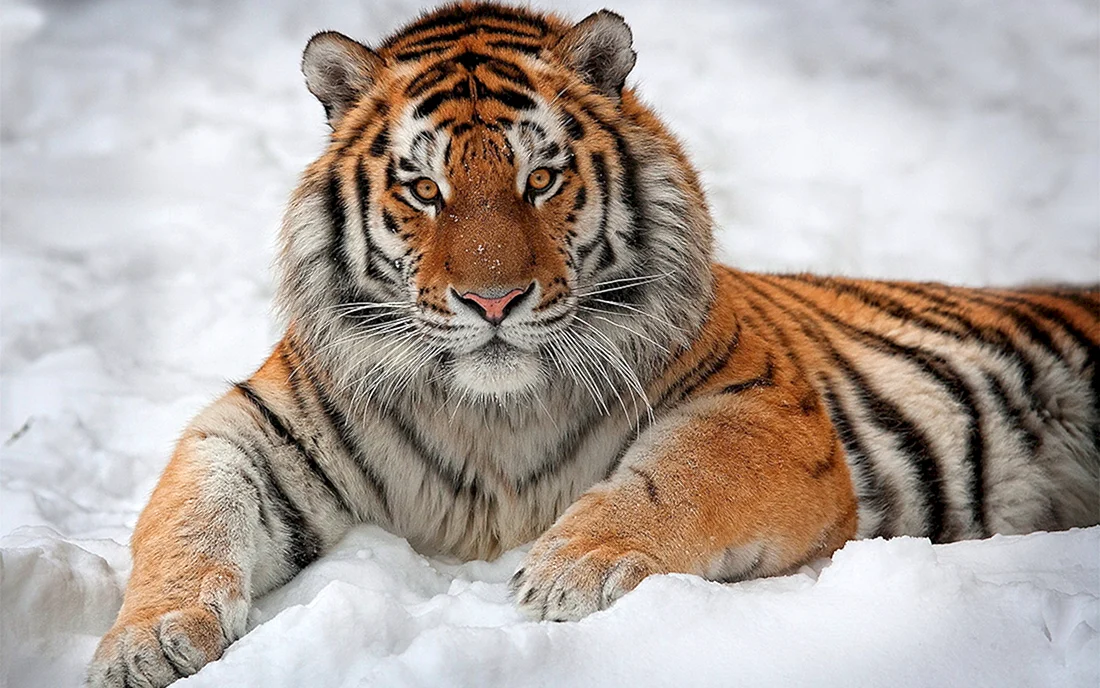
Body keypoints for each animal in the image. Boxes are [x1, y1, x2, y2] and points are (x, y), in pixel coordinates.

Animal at [87, 3, 1100, 686]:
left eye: (540, 179)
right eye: (424, 189)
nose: (492, 297)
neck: (490, 417)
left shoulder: (764, 409)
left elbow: (675, 478)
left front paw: (572, 569)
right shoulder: (252, 429)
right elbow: (187, 520)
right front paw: (144, 641)